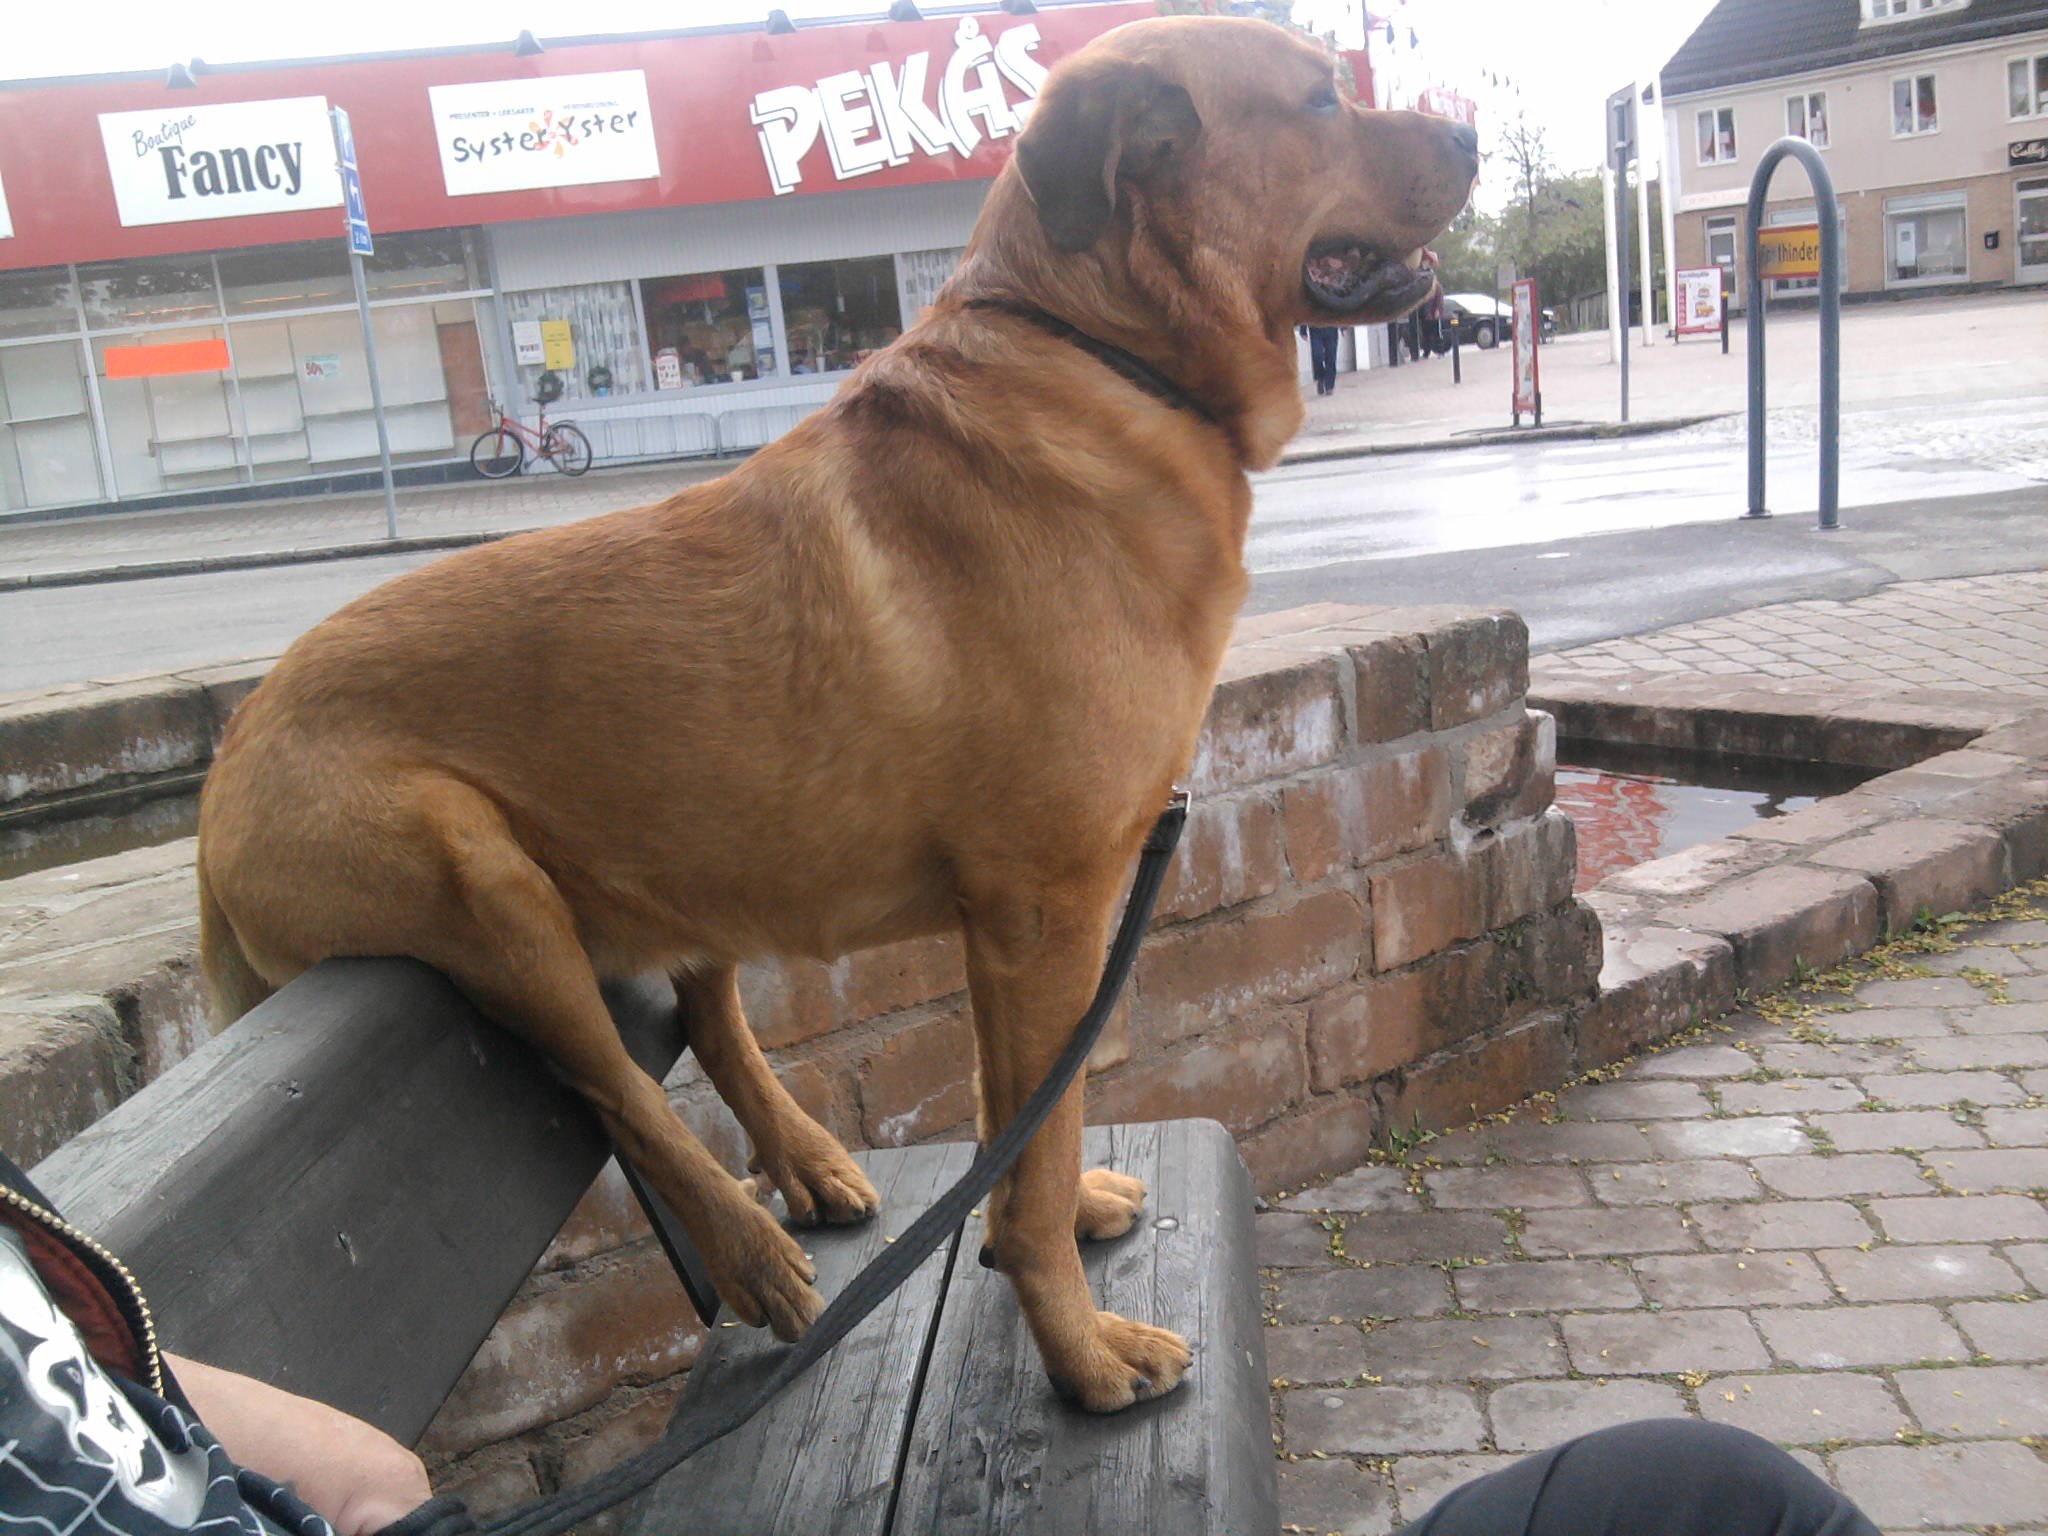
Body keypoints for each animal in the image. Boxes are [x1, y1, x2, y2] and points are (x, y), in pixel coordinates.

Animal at [195, 12, 1474, 1417]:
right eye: (1319, 98)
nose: (1471, 137)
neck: (1098, 353)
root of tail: (222, 779)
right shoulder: (1046, 913)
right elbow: (1030, 1145)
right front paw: (1077, 1348)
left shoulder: (1006, 934)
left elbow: (1020, 1114)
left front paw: (1053, 1220)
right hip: (480, 876)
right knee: (609, 1086)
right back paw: (749, 1253)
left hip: (680, 852)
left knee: (706, 1020)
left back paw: (804, 1162)